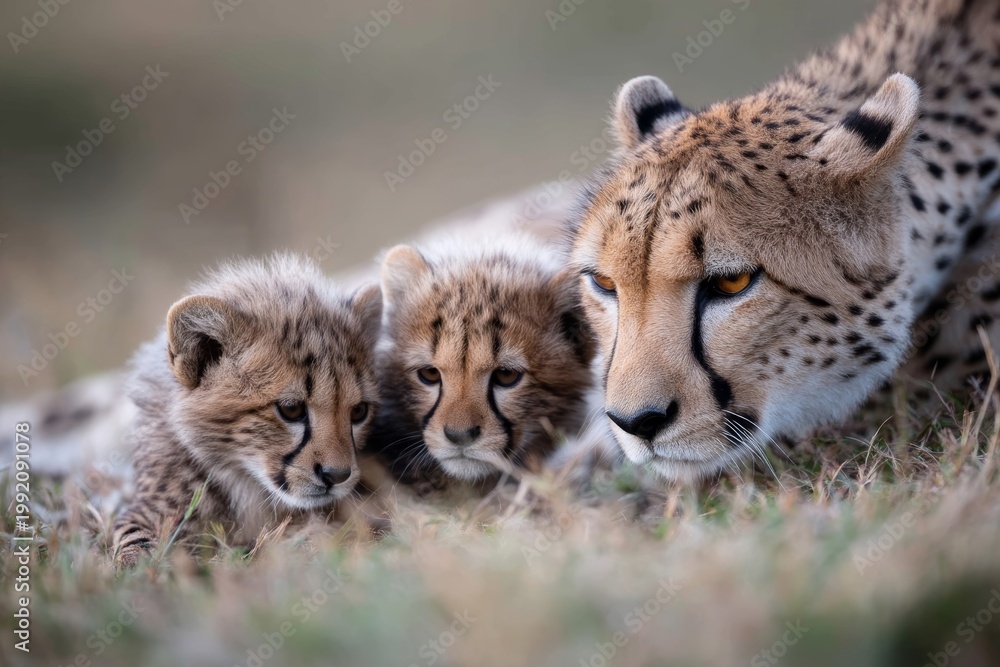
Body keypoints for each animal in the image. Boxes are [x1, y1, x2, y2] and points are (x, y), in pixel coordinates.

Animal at [111, 253, 382, 567]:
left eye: (358, 411)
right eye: (291, 409)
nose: (337, 476)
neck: (243, 478)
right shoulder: (157, 506)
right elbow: (131, 532)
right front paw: (138, 561)